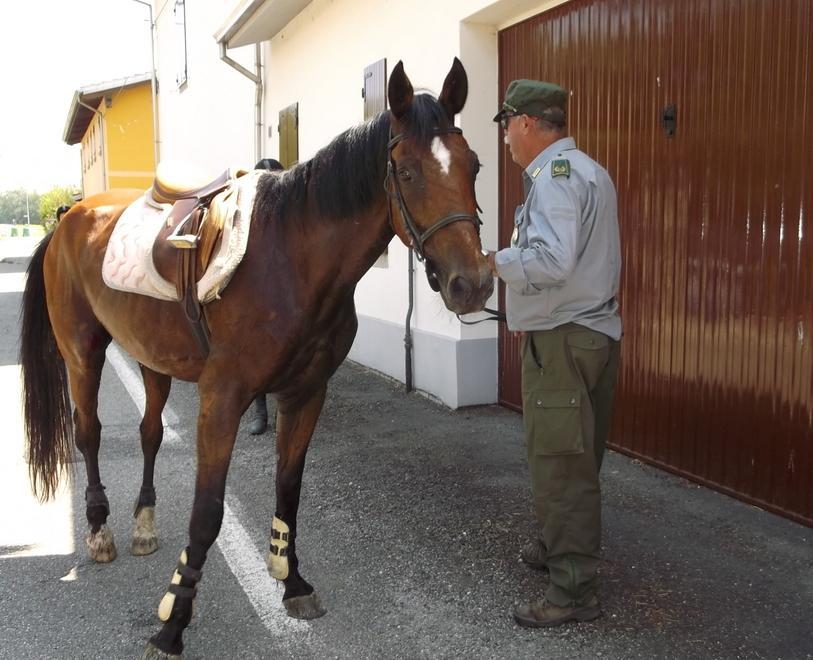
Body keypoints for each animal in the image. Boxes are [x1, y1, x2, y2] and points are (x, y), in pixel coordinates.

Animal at [19, 58, 492, 658]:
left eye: (474, 165)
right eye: (406, 172)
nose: (473, 284)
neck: (292, 258)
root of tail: (66, 219)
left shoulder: (306, 392)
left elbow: (288, 488)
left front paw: (292, 581)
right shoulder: (223, 397)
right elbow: (207, 512)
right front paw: (173, 622)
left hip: (152, 359)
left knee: (150, 433)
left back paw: (144, 525)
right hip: (81, 351)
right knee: (89, 434)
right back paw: (100, 532)